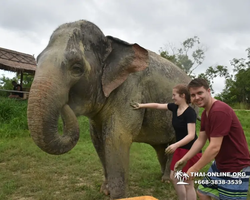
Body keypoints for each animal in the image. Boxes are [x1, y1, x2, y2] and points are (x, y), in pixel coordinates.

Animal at [27, 19, 193, 199]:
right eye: (37, 60)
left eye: (77, 68)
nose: (66, 102)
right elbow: (97, 139)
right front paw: (104, 191)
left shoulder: (130, 88)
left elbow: (116, 137)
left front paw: (118, 196)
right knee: (161, 146)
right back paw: (162, 177)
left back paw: (167, 180)